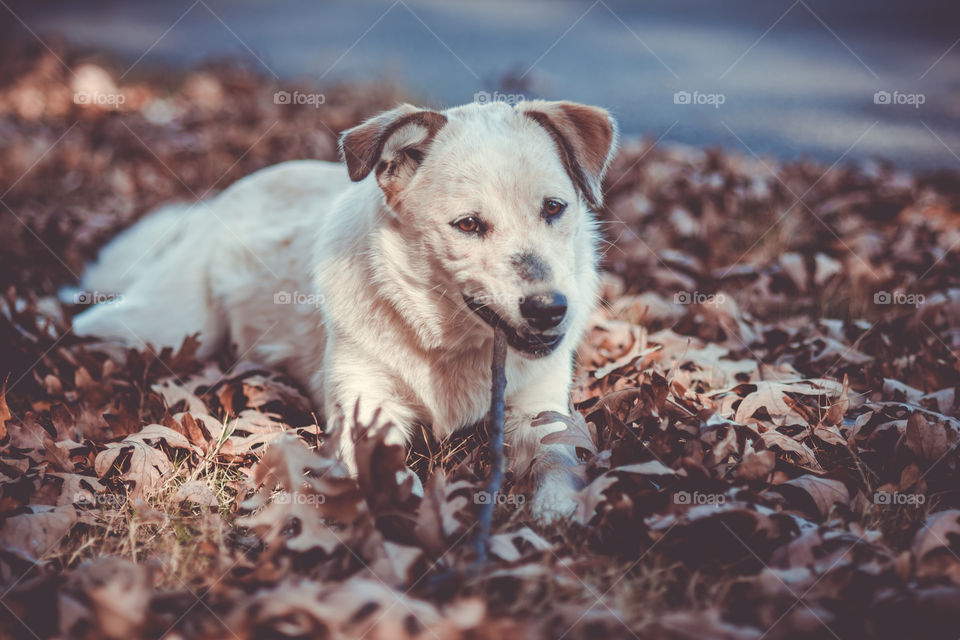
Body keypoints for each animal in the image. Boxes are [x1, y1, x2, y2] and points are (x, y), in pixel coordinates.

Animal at [73, 100, 616, 520]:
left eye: (553, 208)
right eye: (467, 225)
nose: (550, 309)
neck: (446, 343)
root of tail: (223, 197)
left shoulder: (539, 410)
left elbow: (558, 463)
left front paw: (557, 509)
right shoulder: (366, 405)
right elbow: (384, 474)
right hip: (166, 324)